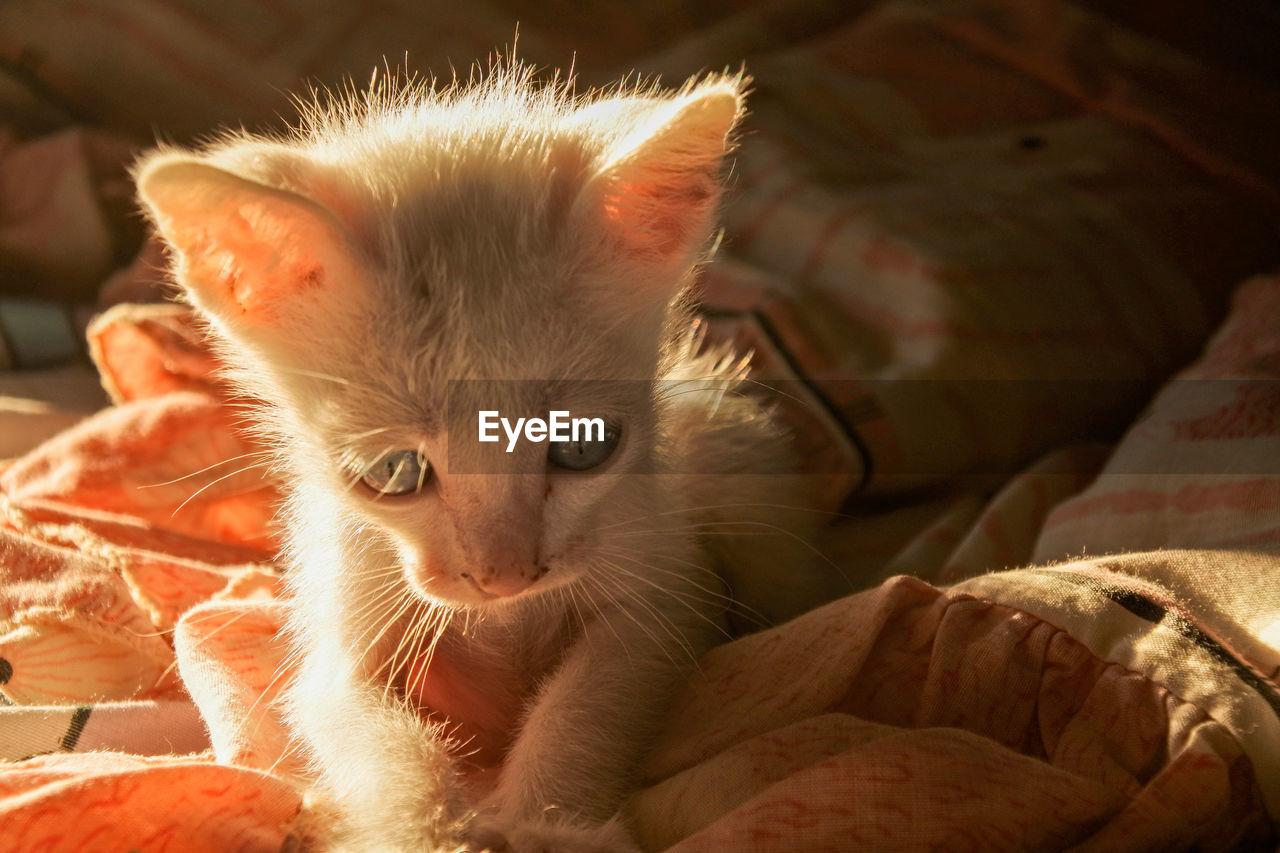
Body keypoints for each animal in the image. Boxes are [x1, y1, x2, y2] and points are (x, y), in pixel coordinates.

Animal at [132, 64, 829, 845]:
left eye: (582, 445)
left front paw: (548, 824)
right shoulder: (334, 648)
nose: (505, 577)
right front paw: (422, 830)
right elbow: (383, 746)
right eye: (395, 473)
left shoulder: (664, 591)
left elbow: (586, 703)